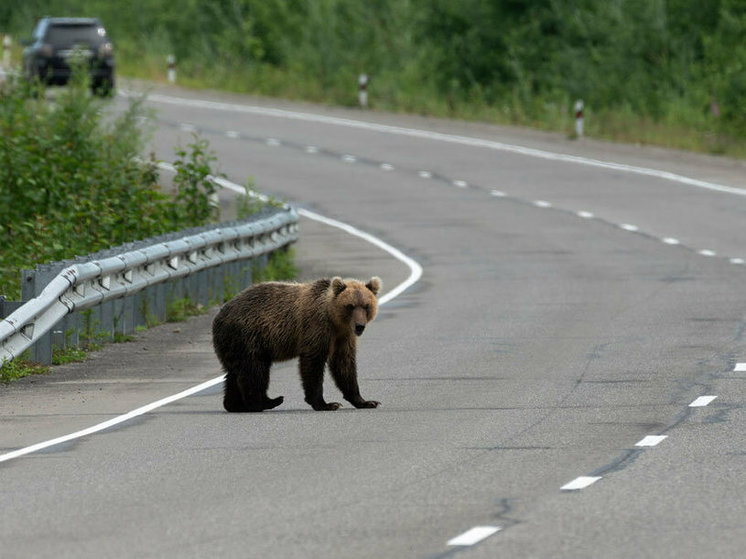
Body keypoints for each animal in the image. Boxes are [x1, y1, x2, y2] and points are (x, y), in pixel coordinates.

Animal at [211, 276, 380, 412]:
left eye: (366, 305)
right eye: (350, 306)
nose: (359, 326)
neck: (335, 320)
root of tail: (218, 318)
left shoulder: (343, 337)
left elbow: (344, 365)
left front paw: (366, 401)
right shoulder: (316, 328)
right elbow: (313, 363)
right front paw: (326, 404)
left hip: (233, 344)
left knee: (235, 373)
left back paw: (235, 405)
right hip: (248, 337)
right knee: (254, 370)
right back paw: (265, 402)